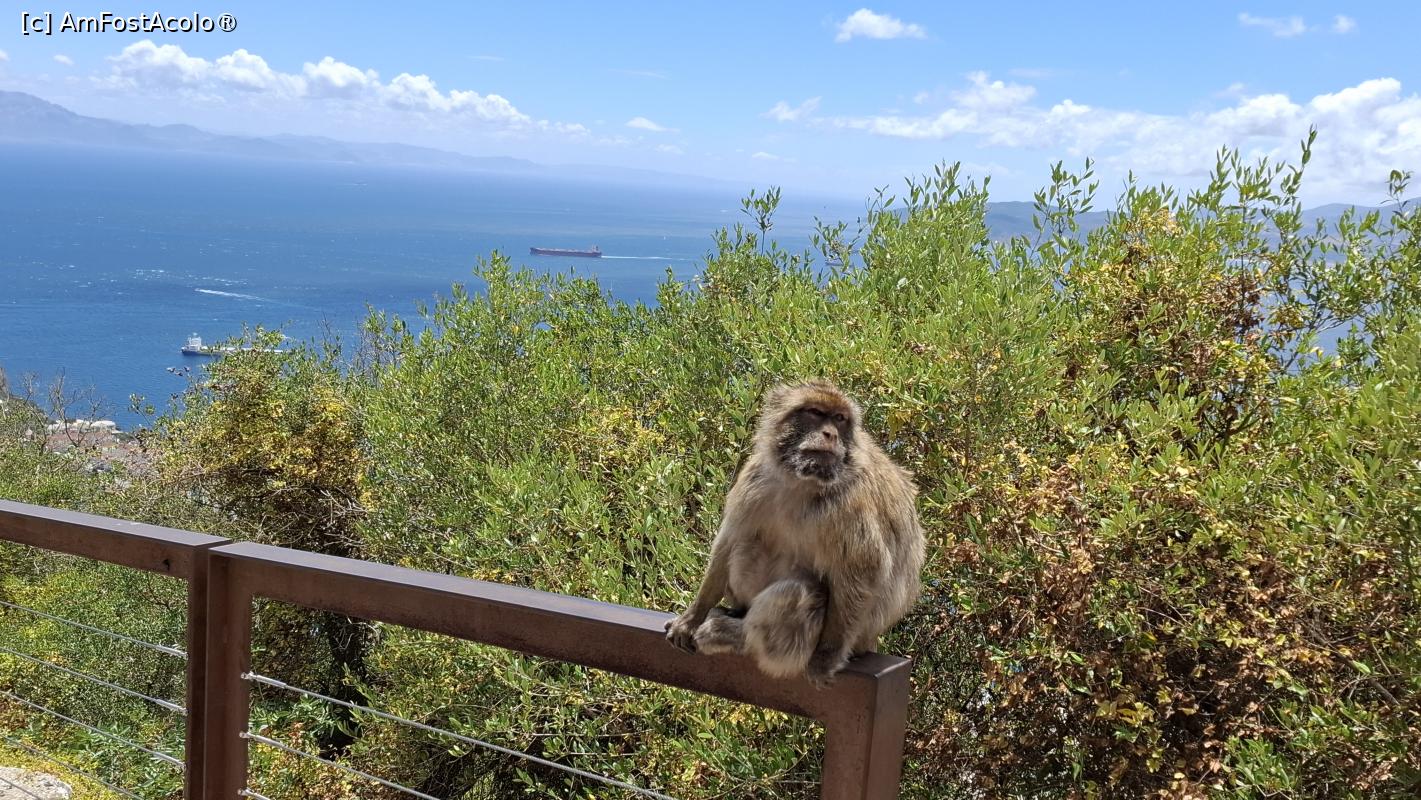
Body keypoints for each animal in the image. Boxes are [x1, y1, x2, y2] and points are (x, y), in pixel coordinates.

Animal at [664, 380, 924, 688]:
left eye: (840, 419)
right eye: (815, 413)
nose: (830, 433)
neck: (802, 482)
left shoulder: (850, 502)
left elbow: (863, 569)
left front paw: (826, 656)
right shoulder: (755, 478)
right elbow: (729, 540)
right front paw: (693, 617)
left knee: (800, 594)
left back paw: (737, 636)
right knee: (747, 545)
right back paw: (734, 613)